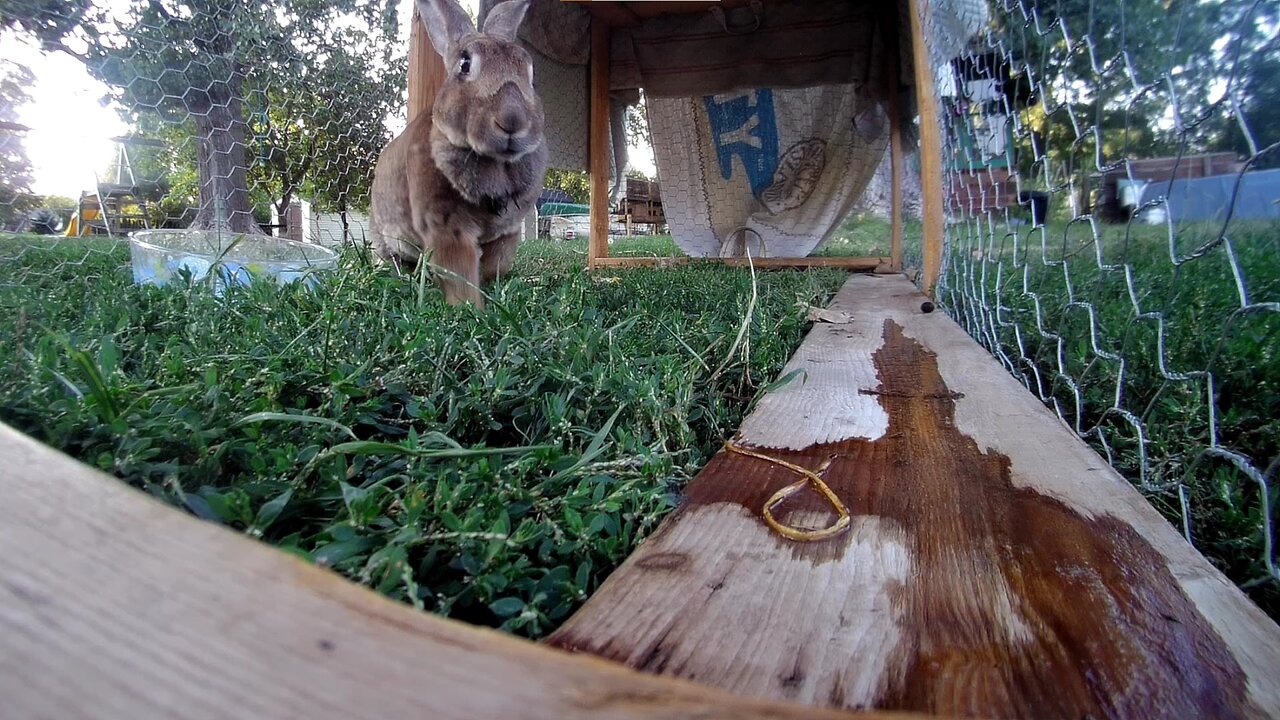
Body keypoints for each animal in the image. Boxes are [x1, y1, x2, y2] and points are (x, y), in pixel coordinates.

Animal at [373, 0, 547, 304]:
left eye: (529, 72)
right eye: (464, 65)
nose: (512, 121)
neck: (497, 164)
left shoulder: (508, 232)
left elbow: (495, 265)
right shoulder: (446, 228)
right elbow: (460, 273)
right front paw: (469, 307)